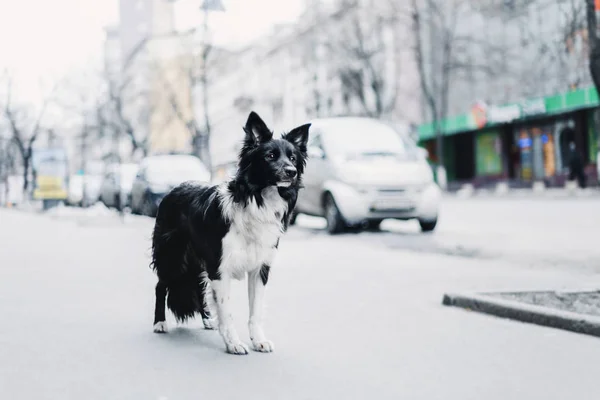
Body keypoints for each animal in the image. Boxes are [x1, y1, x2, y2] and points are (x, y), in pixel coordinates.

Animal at [150, 111, 312, 354]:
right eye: (270, 156)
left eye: (293, 158)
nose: (291, 172)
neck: (258, 200)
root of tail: (173, 189)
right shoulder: (220, 266)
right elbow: (227, 311)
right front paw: (234, 343)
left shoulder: (259, 268)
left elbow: (255, 311)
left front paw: (258, 340)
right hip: (172, 256)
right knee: (161, 286)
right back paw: (159, 323)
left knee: (199, 287)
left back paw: (208, 320)